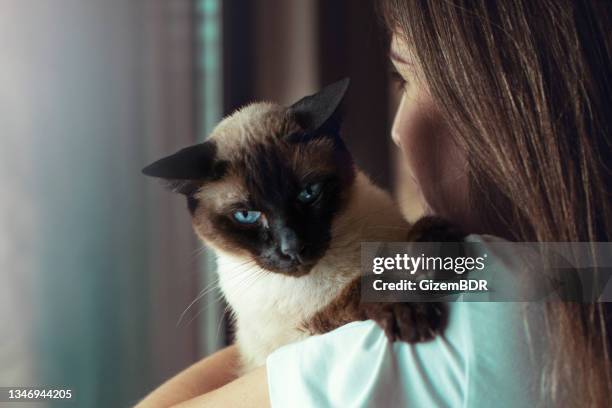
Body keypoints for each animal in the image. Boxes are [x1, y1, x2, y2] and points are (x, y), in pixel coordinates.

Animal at [143, 79, 460, 372]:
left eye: (308, 193)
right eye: (246, 216)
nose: (292, 248)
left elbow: (417, 236)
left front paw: (434, 250)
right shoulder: (301, 334)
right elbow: (361, 286)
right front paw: (408, 306)